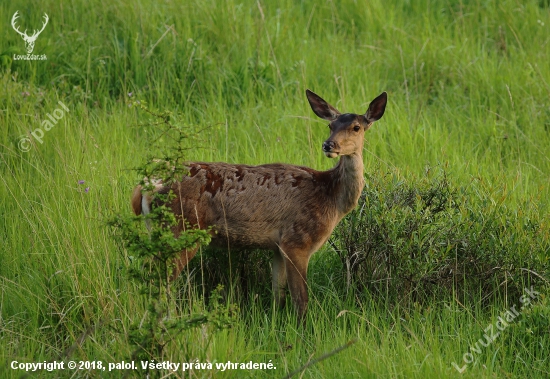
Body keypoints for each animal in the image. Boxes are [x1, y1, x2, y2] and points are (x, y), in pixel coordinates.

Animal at [130, 90, 388, 324]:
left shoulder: (277, 246)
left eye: (356, 127)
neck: (330, 197)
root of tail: (146, 186)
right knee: (159, 280)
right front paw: (303, 332)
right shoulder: (297, 240)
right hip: (182, 229)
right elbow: (301, 300)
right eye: (330, 125)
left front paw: (276, 326)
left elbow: (278, 296)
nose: (329, 145)